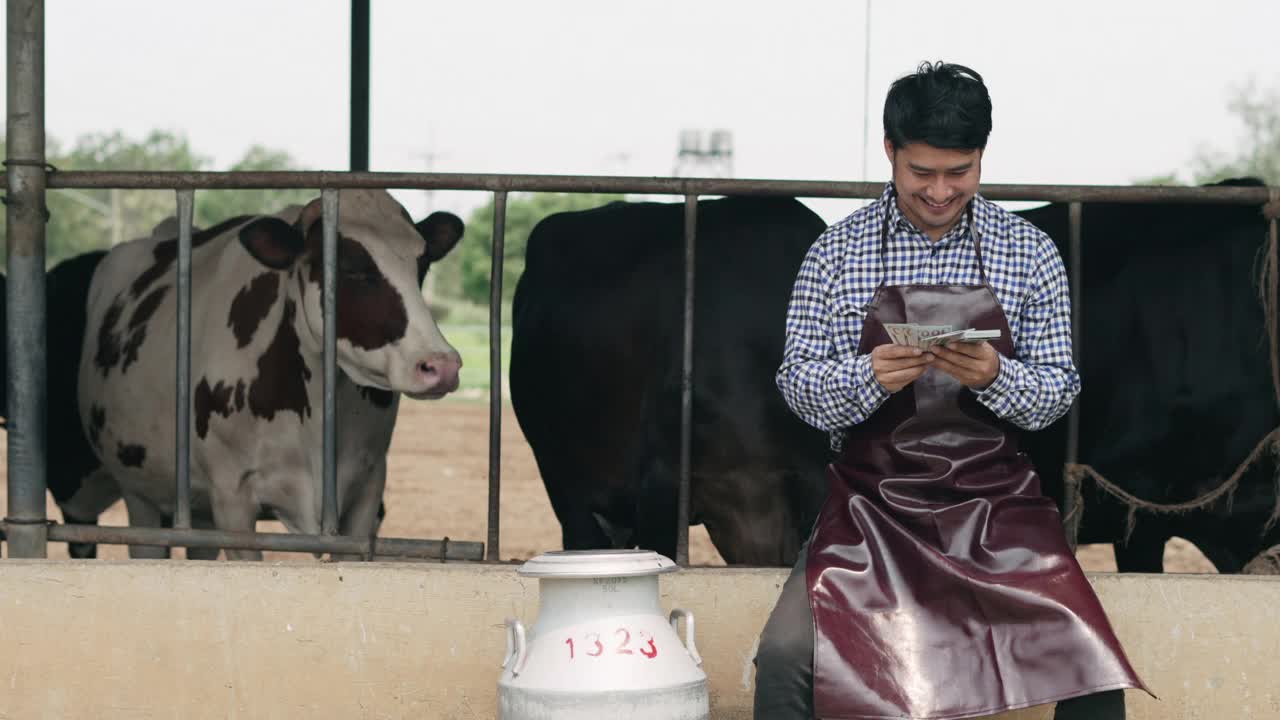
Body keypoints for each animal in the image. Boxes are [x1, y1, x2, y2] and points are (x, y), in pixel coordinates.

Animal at [77, 188, 463, 558]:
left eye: (422, 266)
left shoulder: (367, 488)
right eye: (349, 267)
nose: (441, 365)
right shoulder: (231, 496)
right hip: (142, 495)